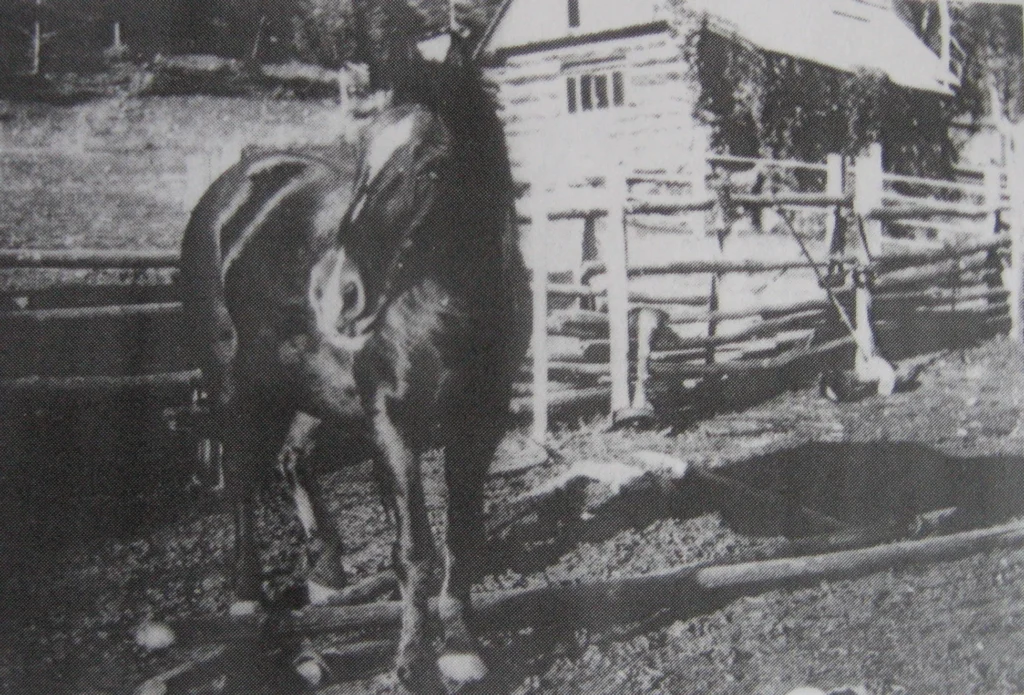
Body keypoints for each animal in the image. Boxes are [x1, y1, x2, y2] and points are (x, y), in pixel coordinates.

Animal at [178, 31, 528, 691]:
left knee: (293, 459)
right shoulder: (392, 422)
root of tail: (232, 192)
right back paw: (247, 596)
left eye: (433, 166)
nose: (339, 294)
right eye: (363, 162)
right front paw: (411, 663)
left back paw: (326, 574)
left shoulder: (481, 422)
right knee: (241, 478)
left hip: (313, 390)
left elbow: (462, 537)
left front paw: (461, 647)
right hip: (234, 384)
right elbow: (413, 548)